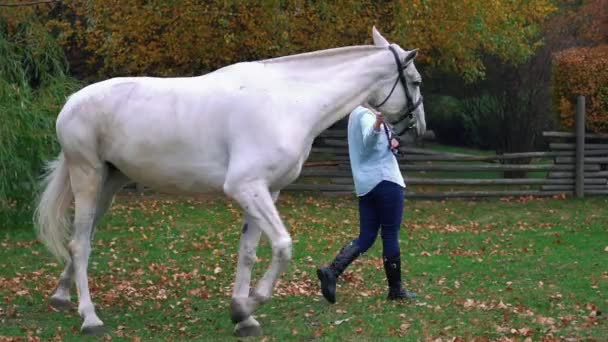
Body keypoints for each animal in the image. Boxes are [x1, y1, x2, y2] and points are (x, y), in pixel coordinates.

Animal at [32, 26, 422, 336]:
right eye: (416, 81)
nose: (418, 128)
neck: (289, 101)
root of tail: (71, 101)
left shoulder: (266, 192)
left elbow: (247, 252)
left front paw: (243, 317)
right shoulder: (246, 187)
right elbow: (282, 246)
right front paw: (249, 305)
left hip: (109, 185)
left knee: (81, 240)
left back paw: (60, 297)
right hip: (87, 176)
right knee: (80, 244)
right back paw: (90, 318)